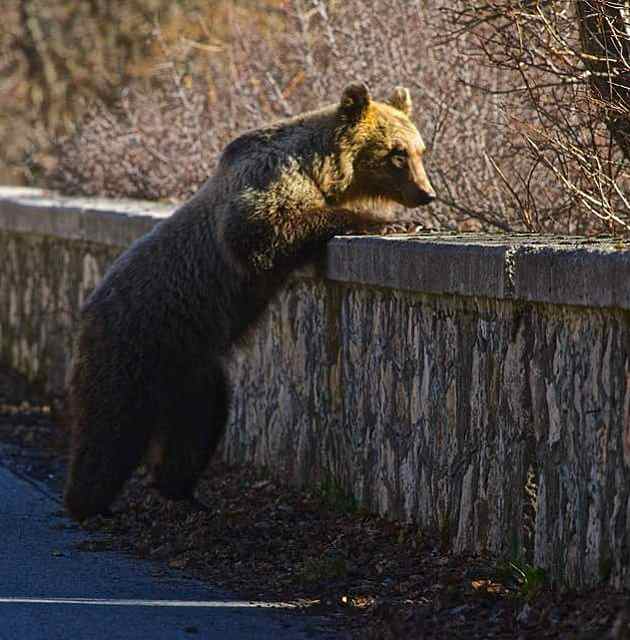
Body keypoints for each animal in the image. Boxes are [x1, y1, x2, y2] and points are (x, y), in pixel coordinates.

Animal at [64, 82, 434, 520]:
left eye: (420, 149)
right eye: (397, 152)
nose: (427, 194)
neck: (322, 169)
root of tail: (89, 305)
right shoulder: (267, 184)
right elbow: (266, 228)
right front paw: (389, 222)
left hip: (193, 369)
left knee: (199, 423)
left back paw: (182, 490)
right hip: (136, 340)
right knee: (111, 425)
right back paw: (88, 502)